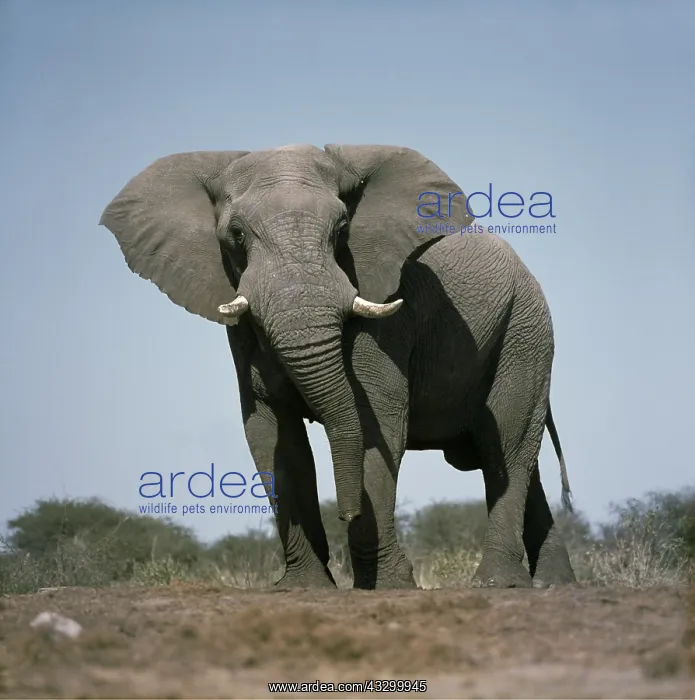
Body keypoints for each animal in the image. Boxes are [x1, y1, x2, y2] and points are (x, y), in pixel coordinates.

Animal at [100, 143, 577, 590]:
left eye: (342, 230)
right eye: (236, 235)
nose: (346, 514)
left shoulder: (389, 310)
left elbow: (375, 424)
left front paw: (388, 585)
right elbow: (274, 439)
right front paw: (304, 587)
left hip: (525, 331)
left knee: (507, 449)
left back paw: (500, 583)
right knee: (521, 462)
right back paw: (553, 583)